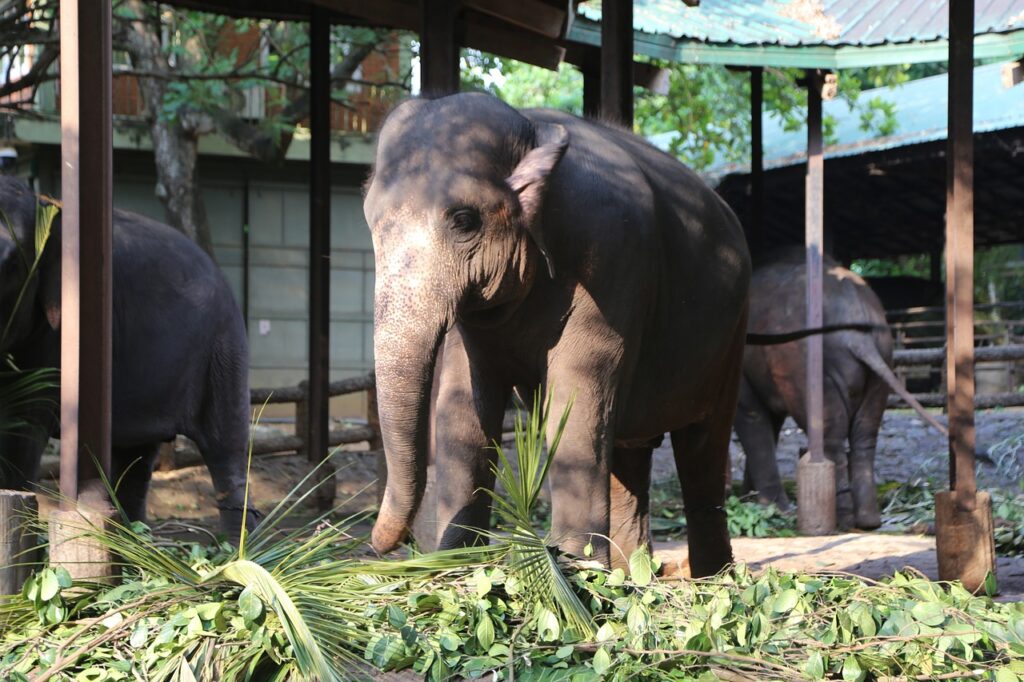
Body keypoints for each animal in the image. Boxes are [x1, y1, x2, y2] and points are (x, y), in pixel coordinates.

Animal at [0, 176, 256, 540]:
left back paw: (236, 550)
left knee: (225, 449)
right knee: (134, 461)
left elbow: (22, 428)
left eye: (10, 265)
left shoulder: (55, 333)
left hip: (223, 349)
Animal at [362, 93, 753, 577]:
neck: (531, 129)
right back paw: (630, 575)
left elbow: (577, 394)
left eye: (464, 219)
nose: (378, 546)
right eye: (369, 221)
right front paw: (455, 563)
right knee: (629, 447)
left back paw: (712, 578)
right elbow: (462, 403)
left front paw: (570, 566)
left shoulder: (610, 258)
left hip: (733, 332)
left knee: (703, 443)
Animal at [737, 248, 942, 524]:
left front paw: (769, 509)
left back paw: (842, 517)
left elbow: (751, 415)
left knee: (829, 433)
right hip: (883, 354)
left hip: (805, 364)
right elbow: (768, 423)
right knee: (865, 433)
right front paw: (749, 501)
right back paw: (868, 520)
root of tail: (858, 330)